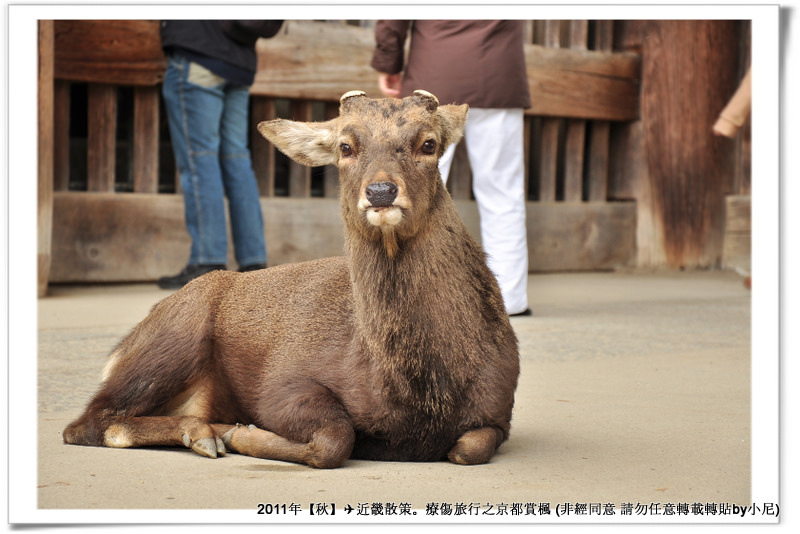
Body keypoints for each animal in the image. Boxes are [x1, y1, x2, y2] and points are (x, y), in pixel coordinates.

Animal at [64, 91, 524, 468]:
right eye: (345, 146)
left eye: (428, 143)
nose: (380, 191)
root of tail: (120, 349)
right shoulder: (282, 381)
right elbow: (336, 438)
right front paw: (242, 433)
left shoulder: (500, 409)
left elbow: (470, 447)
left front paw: (237, 432)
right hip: (173, 339)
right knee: (88, 423)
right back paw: (204, 435)